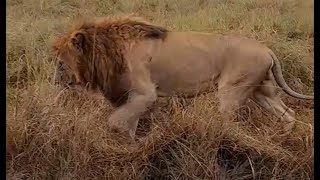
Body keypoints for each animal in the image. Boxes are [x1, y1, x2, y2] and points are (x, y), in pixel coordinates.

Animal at [52, 15, 312, 139]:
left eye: (60, 64)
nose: (54, 82)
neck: (107, 51)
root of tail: (267, 49)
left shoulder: (146, 94)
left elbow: (115, 121)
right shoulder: (133, 97)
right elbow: (129, 123)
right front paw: (130, 146)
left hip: (231, 90)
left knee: (231, 121)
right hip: (261, 90)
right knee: (289, 113)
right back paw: (283, 136)